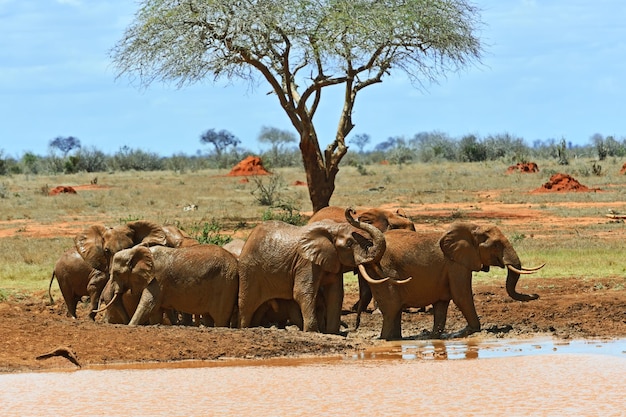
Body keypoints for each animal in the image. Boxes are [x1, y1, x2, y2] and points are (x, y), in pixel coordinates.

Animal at [96, 242, 238, 326]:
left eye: (117, 273)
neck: (136, 251)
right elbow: (155, 311)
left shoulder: (158, 278)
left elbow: (149, 305)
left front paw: (131, 325)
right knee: (209, 317)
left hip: (225, 284)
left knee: (220, 318)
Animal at [236, 208, 386, 334]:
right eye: (349, 244)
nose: (351, 210)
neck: (333, 228)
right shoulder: (306, 262)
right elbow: (302, 292)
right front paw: (313, 331)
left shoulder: (333, 261)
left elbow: (335, 294)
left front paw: (332, 333)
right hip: (249, 270)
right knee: (247, 304)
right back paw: (244, 328)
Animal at [356, 223, 540, 340]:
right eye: (496, 245)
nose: (536, 295)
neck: (472, 228)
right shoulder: (456, 264)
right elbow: (461, 296)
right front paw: (470, 331)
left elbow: (442, 303)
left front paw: (435, 336)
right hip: (384, 271)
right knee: (391, 308)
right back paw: (385, 340)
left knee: (395, 311)